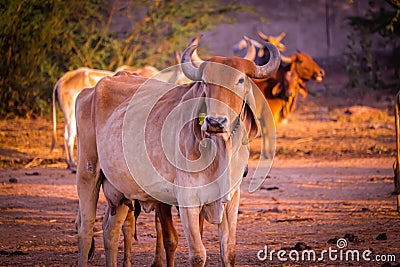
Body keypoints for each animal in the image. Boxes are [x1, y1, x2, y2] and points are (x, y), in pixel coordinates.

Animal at [76, 36, 282, 267]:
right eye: (205, 82)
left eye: (240, 81)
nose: (214, 122)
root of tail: (94, 89)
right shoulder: (187, 200)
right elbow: (197, 254)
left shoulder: (231, 199)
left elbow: (229, 252)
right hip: (88, 172)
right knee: (85, 229)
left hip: (119, 190)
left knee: (110, 231)